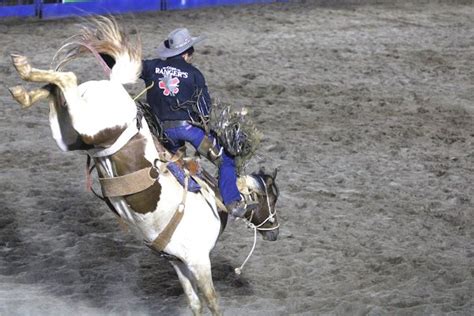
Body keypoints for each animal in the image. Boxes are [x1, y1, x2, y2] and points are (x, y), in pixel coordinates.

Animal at [9, 17, 280, 316]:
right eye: (273, 198)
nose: (275, 232)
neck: (216, 198)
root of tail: (114, 85)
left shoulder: (177, 262)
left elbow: (194, 302)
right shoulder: (198, 260)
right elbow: (211, 301)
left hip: (71, 135)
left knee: (58, 93)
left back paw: (24, 88)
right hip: (90, 125)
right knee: (67, 78)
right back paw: (25, 72)